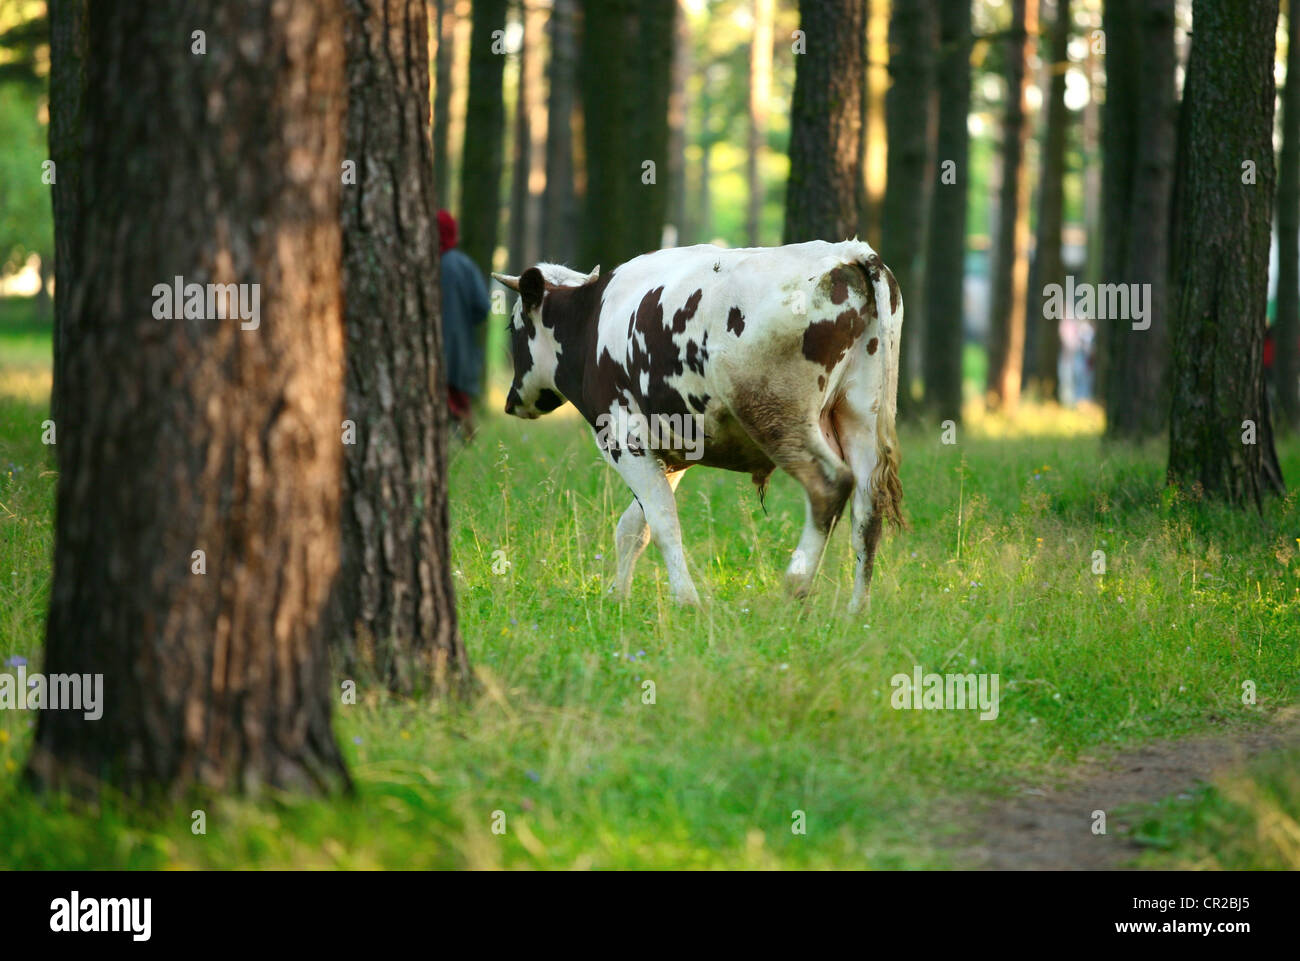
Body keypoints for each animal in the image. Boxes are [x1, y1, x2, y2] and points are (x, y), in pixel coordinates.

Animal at [492, 240, 904, 612]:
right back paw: (857, 610)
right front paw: (617, 596)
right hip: (858, 415)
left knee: (829, 486)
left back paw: (796, 584)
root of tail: (846, 252)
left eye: (513, 327)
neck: (592, 319)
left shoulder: (623, 439)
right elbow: (633, 527)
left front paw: (686, 600)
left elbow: (662, 522)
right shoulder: (671, 452)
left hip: (779, 417)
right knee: (868, 508)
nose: (511, 401)